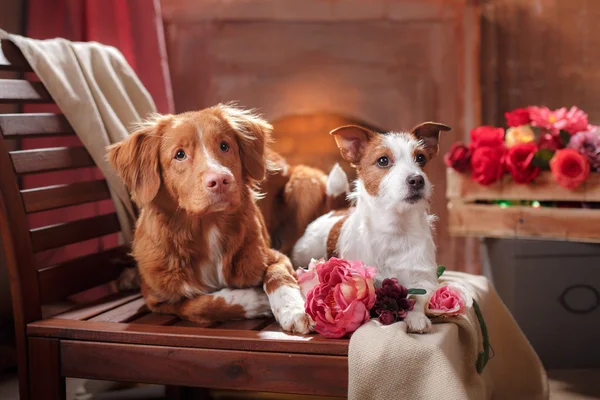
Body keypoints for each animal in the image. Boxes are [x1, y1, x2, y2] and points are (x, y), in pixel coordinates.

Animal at [106, 104, 318, 332]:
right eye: (180, 154)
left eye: (224, 146)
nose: (220, 180)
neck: (207, 227)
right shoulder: (157, 299)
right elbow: (196, 305)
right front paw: (258, 299)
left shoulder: (274, 256)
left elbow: (278, 274)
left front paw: (293, 309)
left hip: (306, 183)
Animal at [290, 122, 450, 334]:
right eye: (383, 161)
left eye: (421, 158)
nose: (417, 179)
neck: (394, 230)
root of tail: (336, 210)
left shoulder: (423, 276)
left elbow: (418, 296)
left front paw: (416, 317)